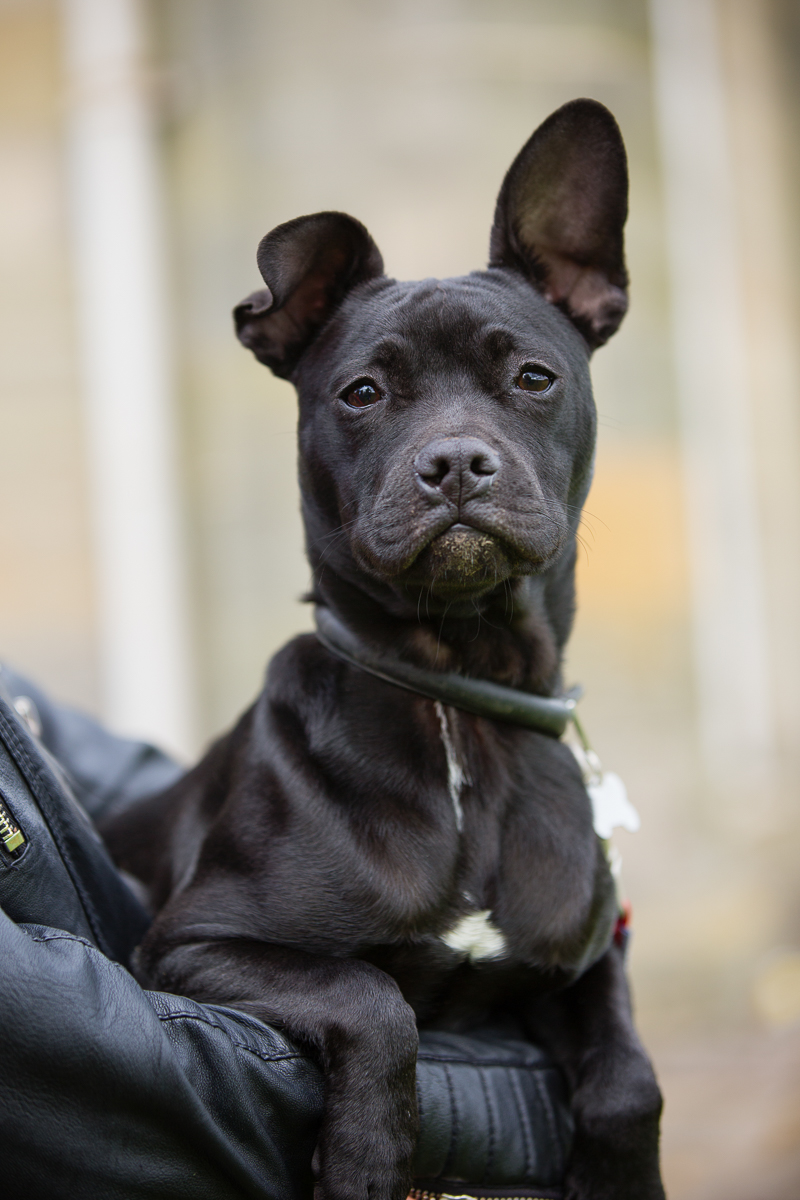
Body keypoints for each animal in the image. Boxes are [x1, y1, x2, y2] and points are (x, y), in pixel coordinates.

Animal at [104, 100, 662, 1200]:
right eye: (362, 393)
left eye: (533, 377)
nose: (454, 464)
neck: (460, 700)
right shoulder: (192, 947)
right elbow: (369, 994)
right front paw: (366, 1157)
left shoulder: (586, 963)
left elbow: (631, 1078)